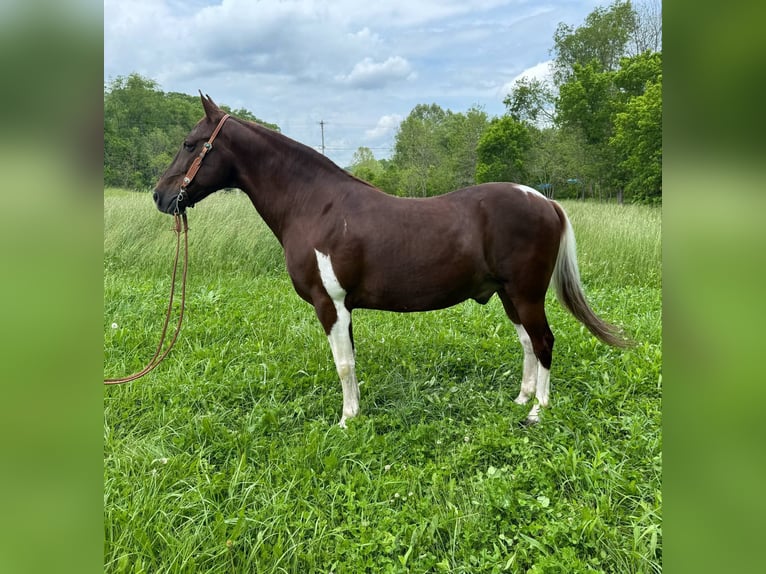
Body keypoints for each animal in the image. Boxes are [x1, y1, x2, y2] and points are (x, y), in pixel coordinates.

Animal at [153, 93, 630, 427]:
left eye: (190, 144)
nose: (160, 195)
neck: (316, 207)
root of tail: (545, 200)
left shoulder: (330, 304)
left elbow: (343, 363)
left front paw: (346, 420)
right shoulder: (344, 309)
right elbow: (350, 361)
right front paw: (355, 411)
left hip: (527, 295)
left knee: (545, 342)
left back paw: (537, 411)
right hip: (509, 296)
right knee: (529, 344)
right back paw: (521, 398)